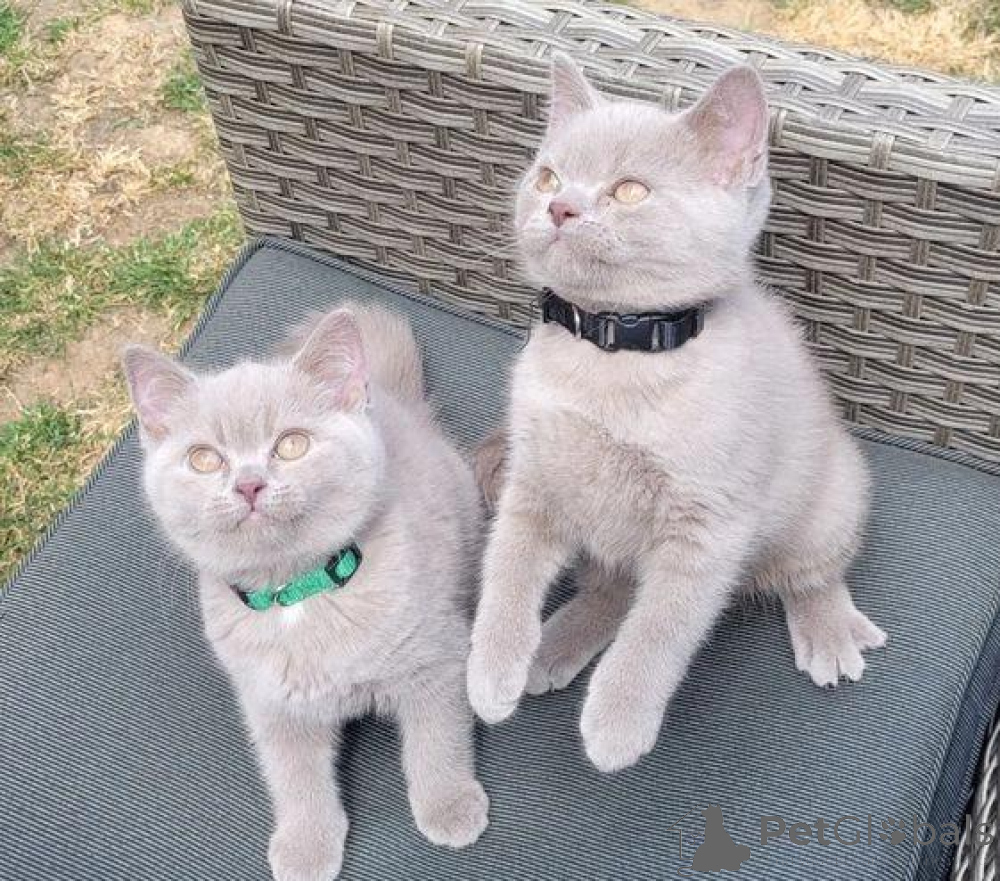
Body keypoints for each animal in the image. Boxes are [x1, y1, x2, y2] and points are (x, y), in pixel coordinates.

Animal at [122, 304, 488, 881]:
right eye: (205, 459)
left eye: (291, 444)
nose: (249, 484)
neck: (298, 595)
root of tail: (394, 400)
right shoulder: (271, 704)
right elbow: (293, 776)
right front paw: (306, 844)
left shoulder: (435, 659)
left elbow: (438, 739)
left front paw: (448, 806)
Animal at [466, 55, 887, 774]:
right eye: (547, 176)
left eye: (630, 191)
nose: (559, 205)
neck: (609, 352)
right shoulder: (536, 481)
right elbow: (509, 569)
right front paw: (491, 670)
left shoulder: (707, 526)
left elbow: (658, 630)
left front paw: (617, 722)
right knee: (611, 588)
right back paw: (555, 644)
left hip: (832, 499)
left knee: (813, 572)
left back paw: (829, 632)